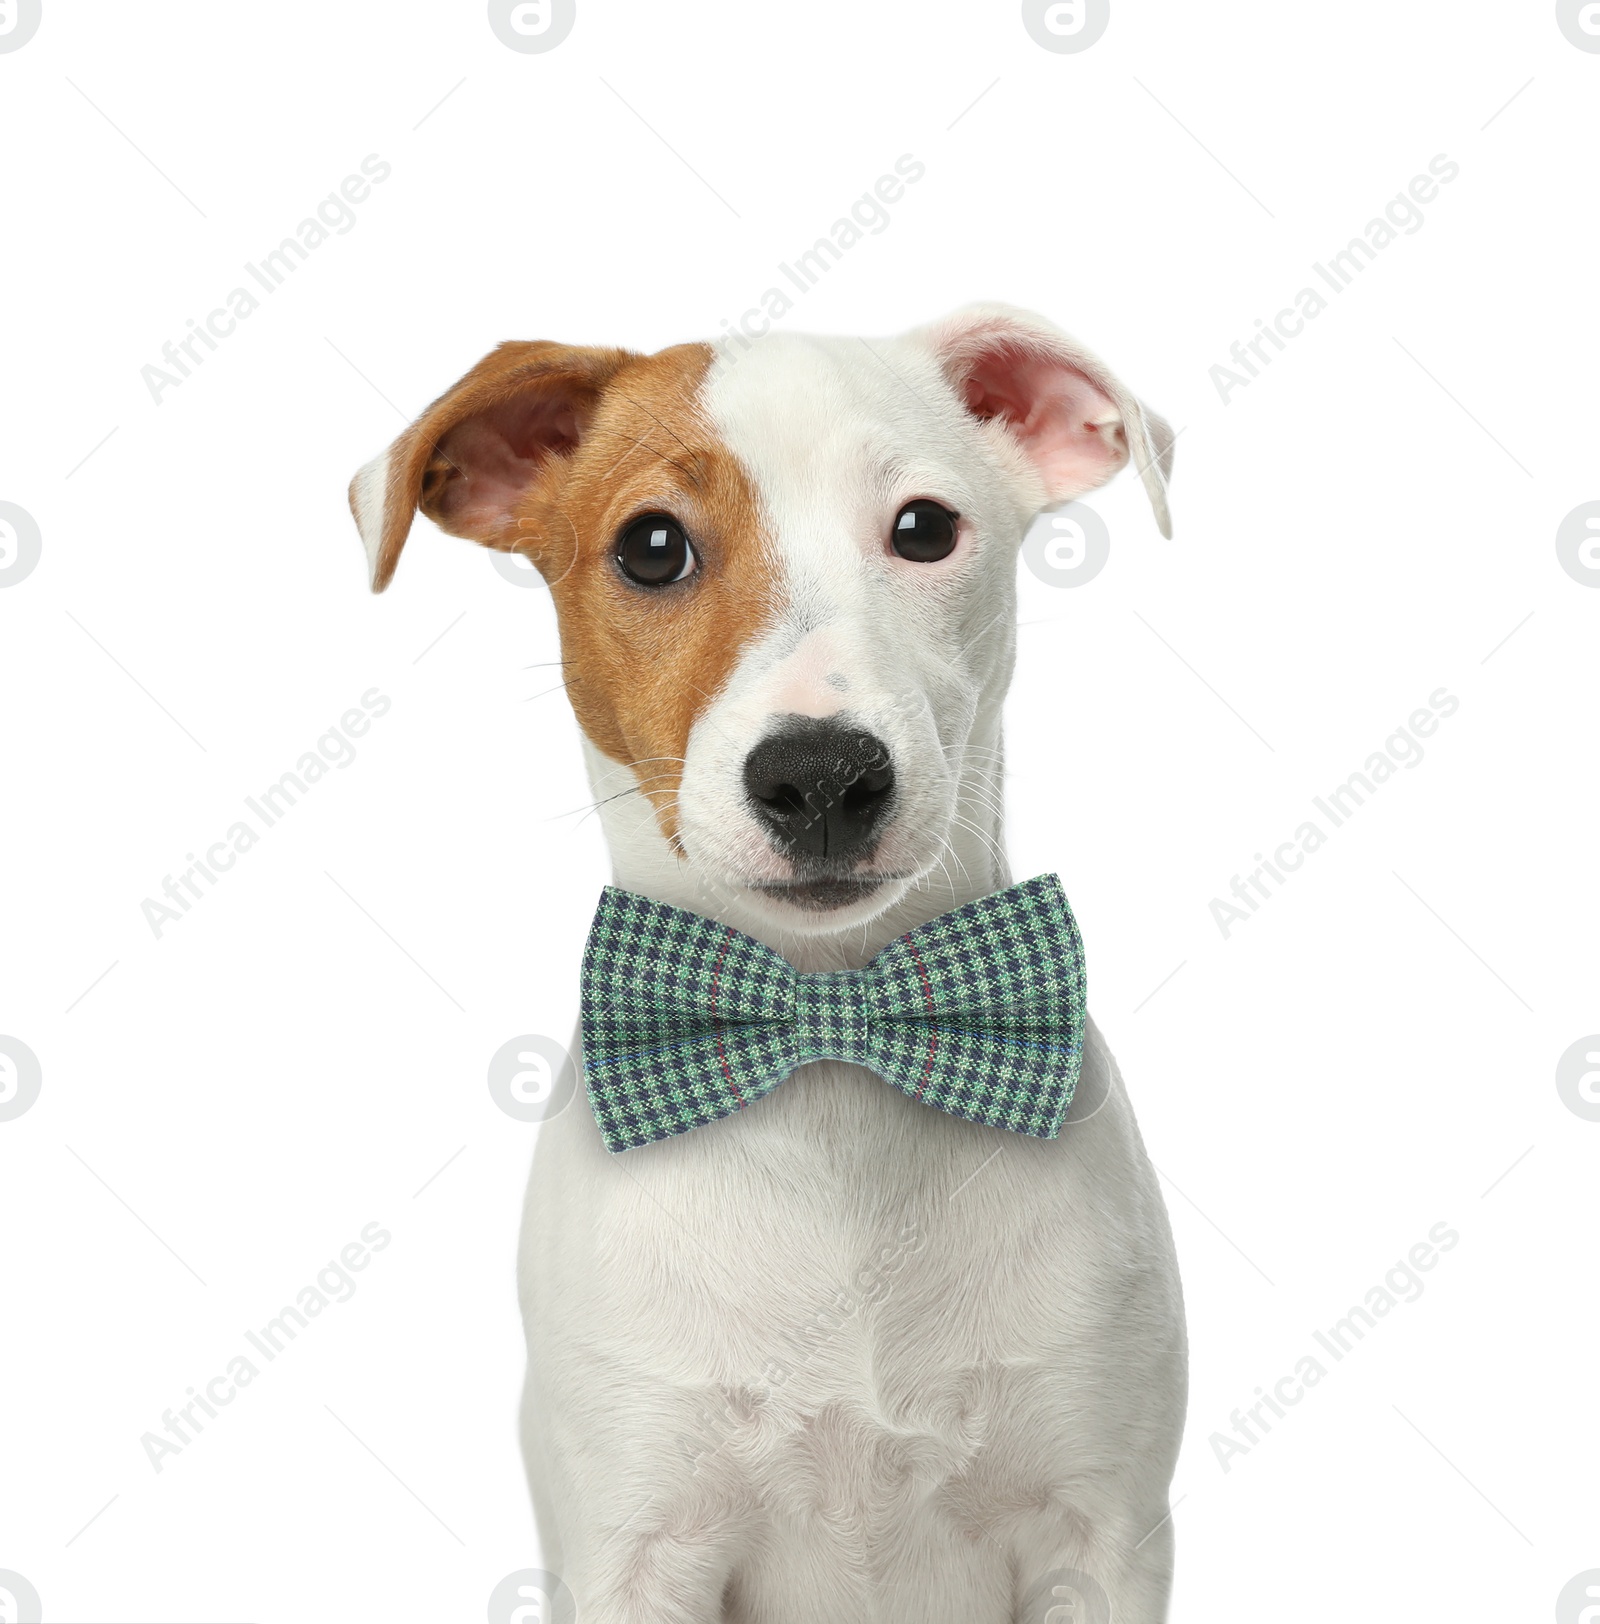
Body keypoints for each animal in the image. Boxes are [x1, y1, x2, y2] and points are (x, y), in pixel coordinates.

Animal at [352, 306, 1189, 1624]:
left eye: (924, 527)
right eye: (651, 547)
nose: (822, 774)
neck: (826, 1018)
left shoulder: (1098, 1534)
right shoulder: (638, 1546)